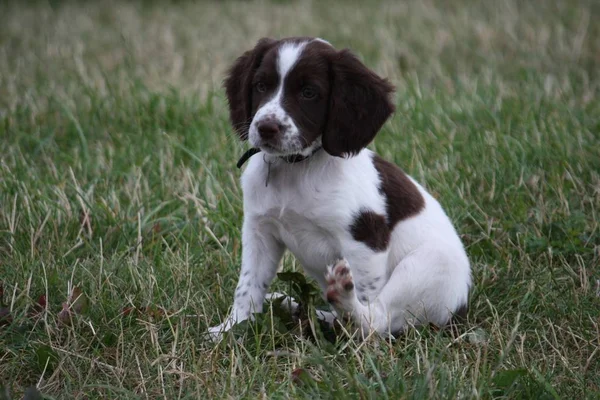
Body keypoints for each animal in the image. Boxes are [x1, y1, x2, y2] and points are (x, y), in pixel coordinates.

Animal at [209, 37, 472, 340]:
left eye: (309, 92)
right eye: (261, 86)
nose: (266, 128)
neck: (297, 169)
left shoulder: (364, 237)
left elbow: (367, 295)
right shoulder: (260, 230)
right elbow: (248, 286)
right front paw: (232, 328)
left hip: (429, 266)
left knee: (377, 320)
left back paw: (344, 305)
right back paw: (298, 308)